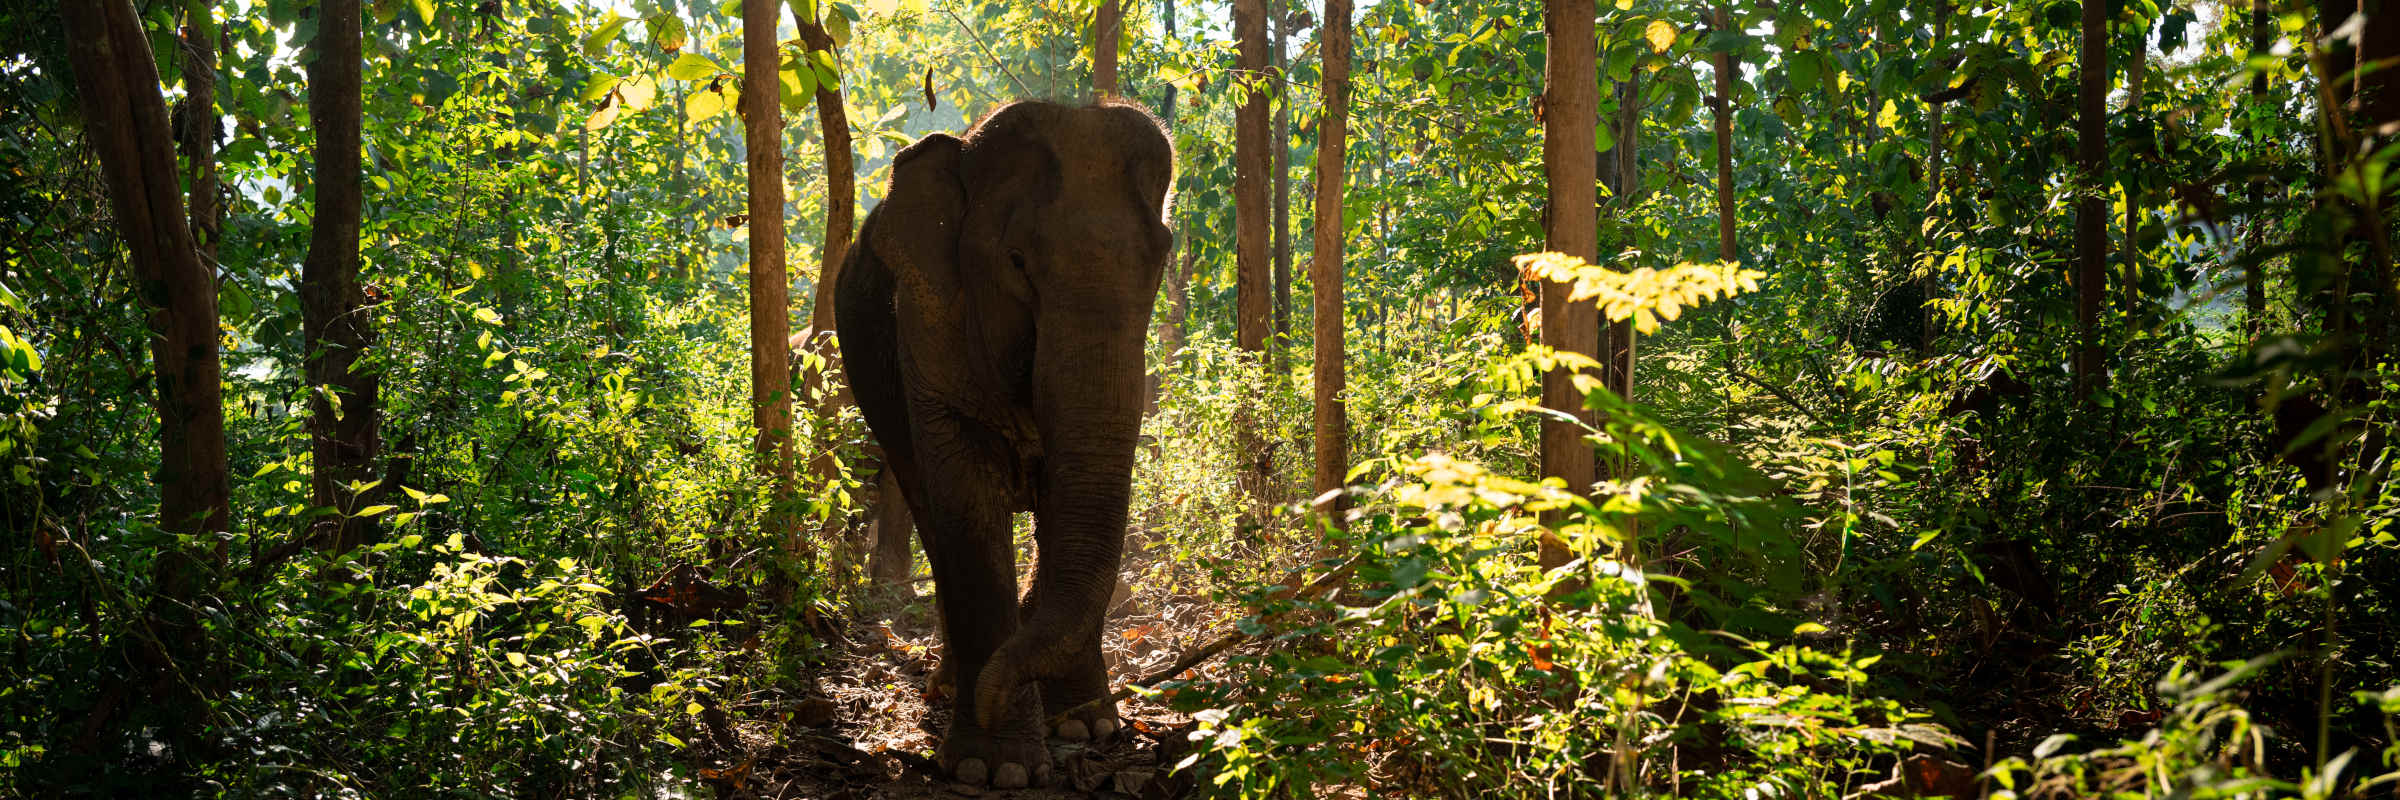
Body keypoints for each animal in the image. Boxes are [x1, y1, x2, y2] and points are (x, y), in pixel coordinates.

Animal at [833, 100, 1174, 788]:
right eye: (1016, 261)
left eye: (1161, 259)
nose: (999, 694)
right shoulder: (928, 322)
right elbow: (966, 502)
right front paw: (993, 765)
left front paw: (1086, 726)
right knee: (925, 508)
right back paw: (949, 686)